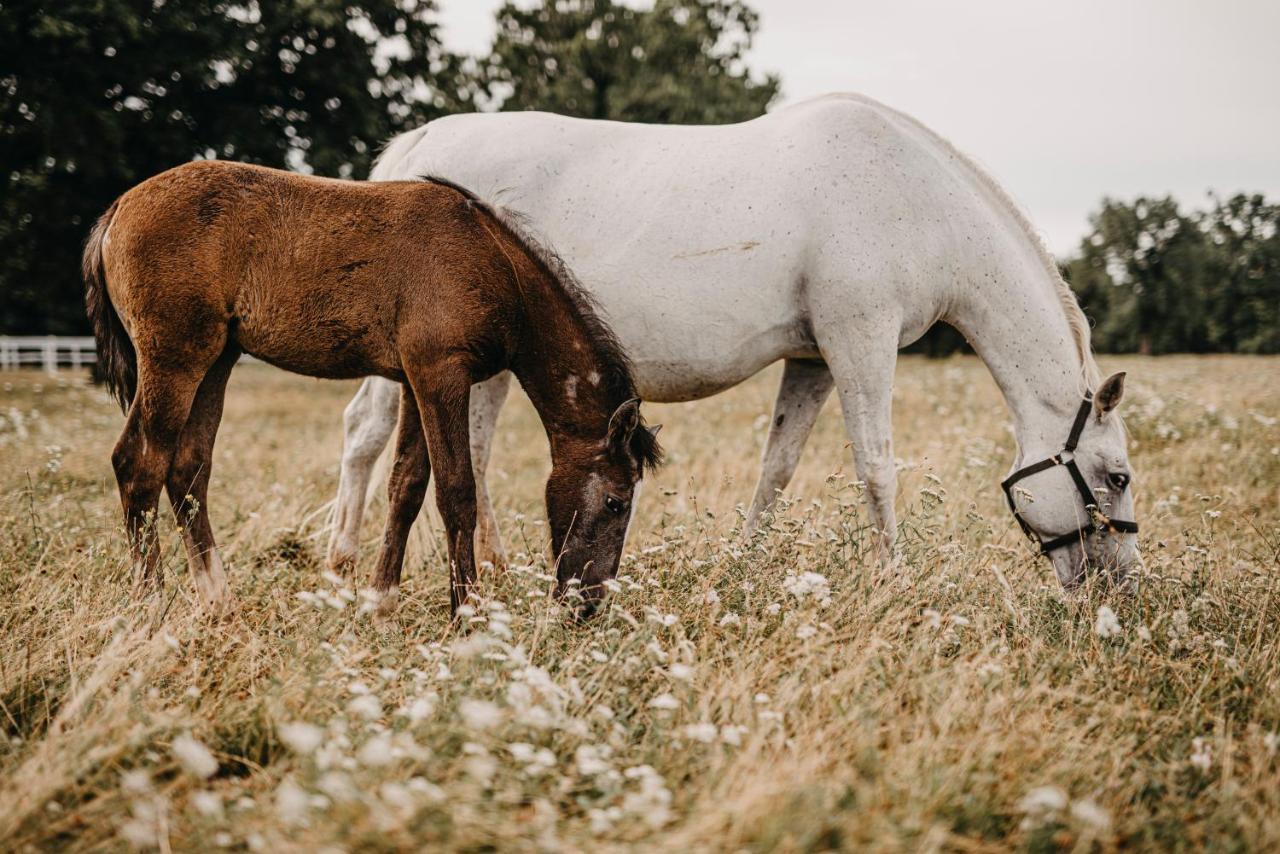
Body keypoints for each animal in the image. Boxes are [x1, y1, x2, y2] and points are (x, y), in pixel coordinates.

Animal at [82, 158, 660, 614]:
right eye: (616, 502)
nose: (588, 603)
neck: (493, 262)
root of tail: (117, 210)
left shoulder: (415, 380)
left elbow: (406, 486)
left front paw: (381, 602)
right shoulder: (440, 375)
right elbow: (456, 491)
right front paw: (466, 611)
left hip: (216, 361)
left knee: (188, 471)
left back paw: (219, 600)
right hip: (174, 359)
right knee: (139, 464)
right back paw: (151, 604)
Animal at [330, 93, 1141, 588]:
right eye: (1117, 476)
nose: (1124, 586)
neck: (912, 196)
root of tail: (421, 142)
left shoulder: (813, 360)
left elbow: (775, 470)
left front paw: (743, 569)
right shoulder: (861, 342)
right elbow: (878, 469)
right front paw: (895, 580)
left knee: (463, 450)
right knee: (370, 436)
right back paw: (346, 564)